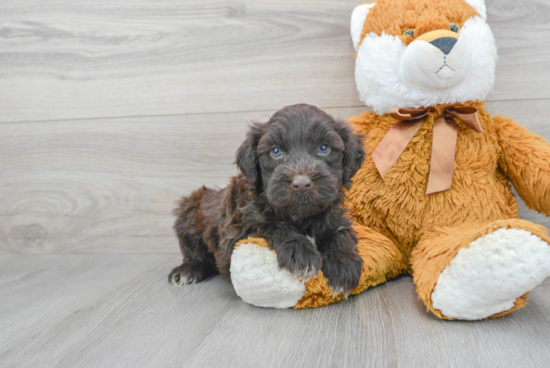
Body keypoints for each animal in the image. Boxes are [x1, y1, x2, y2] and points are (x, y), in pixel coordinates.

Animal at [168, 103, 366, 296]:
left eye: (324, 148)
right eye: (276, 151)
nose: (302, 184)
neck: (300, 216)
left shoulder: (335, 217)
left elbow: (340, 233)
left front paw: (343, 266)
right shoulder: (234, 235)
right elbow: (272, 225)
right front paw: (301, 252)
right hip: (190, 211)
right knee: (194, 252)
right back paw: (188, 270)